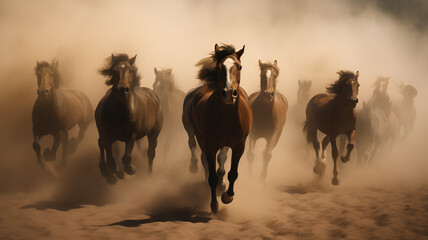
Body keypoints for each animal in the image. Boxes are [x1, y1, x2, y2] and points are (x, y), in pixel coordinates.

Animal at [95, 53, 162, 185]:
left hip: (154, 133)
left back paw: (149, 176)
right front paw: (114, 176)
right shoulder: (108, 136)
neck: (120, 112)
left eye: (130, 70)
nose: (122, 89)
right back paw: (105, 171)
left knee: (151, 152)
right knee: (101, 144)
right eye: (114, 70)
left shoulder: (131, 136)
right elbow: (111, 159)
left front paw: (130, 169)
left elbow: (126, 158)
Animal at [182, 44, 252, 213]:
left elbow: (232, 172)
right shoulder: (210, 146)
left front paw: (227, 196)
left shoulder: (239, 145)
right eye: (220, 67)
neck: (226, 117)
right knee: (200, 156)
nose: (229, 93)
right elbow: (212, 176)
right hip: (198, 137)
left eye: (240, 66)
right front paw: (214, 204)